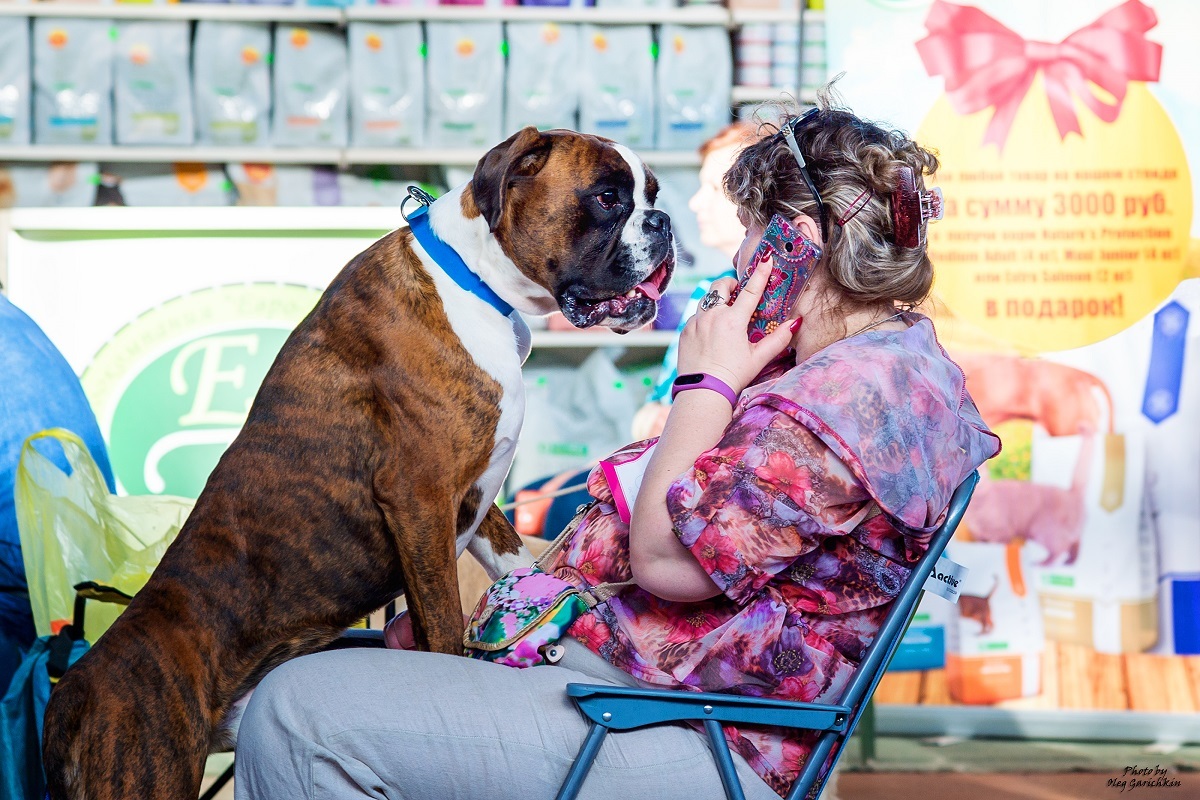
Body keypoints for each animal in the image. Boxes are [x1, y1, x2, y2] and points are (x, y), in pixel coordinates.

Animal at [42, 128, 676, 796]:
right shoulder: (420, 498)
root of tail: (69, 697)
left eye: (652, 194)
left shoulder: (477, 499)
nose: (663, 222)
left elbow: (514, 561)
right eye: (607, 198)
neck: (474, 283)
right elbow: (443, 627)